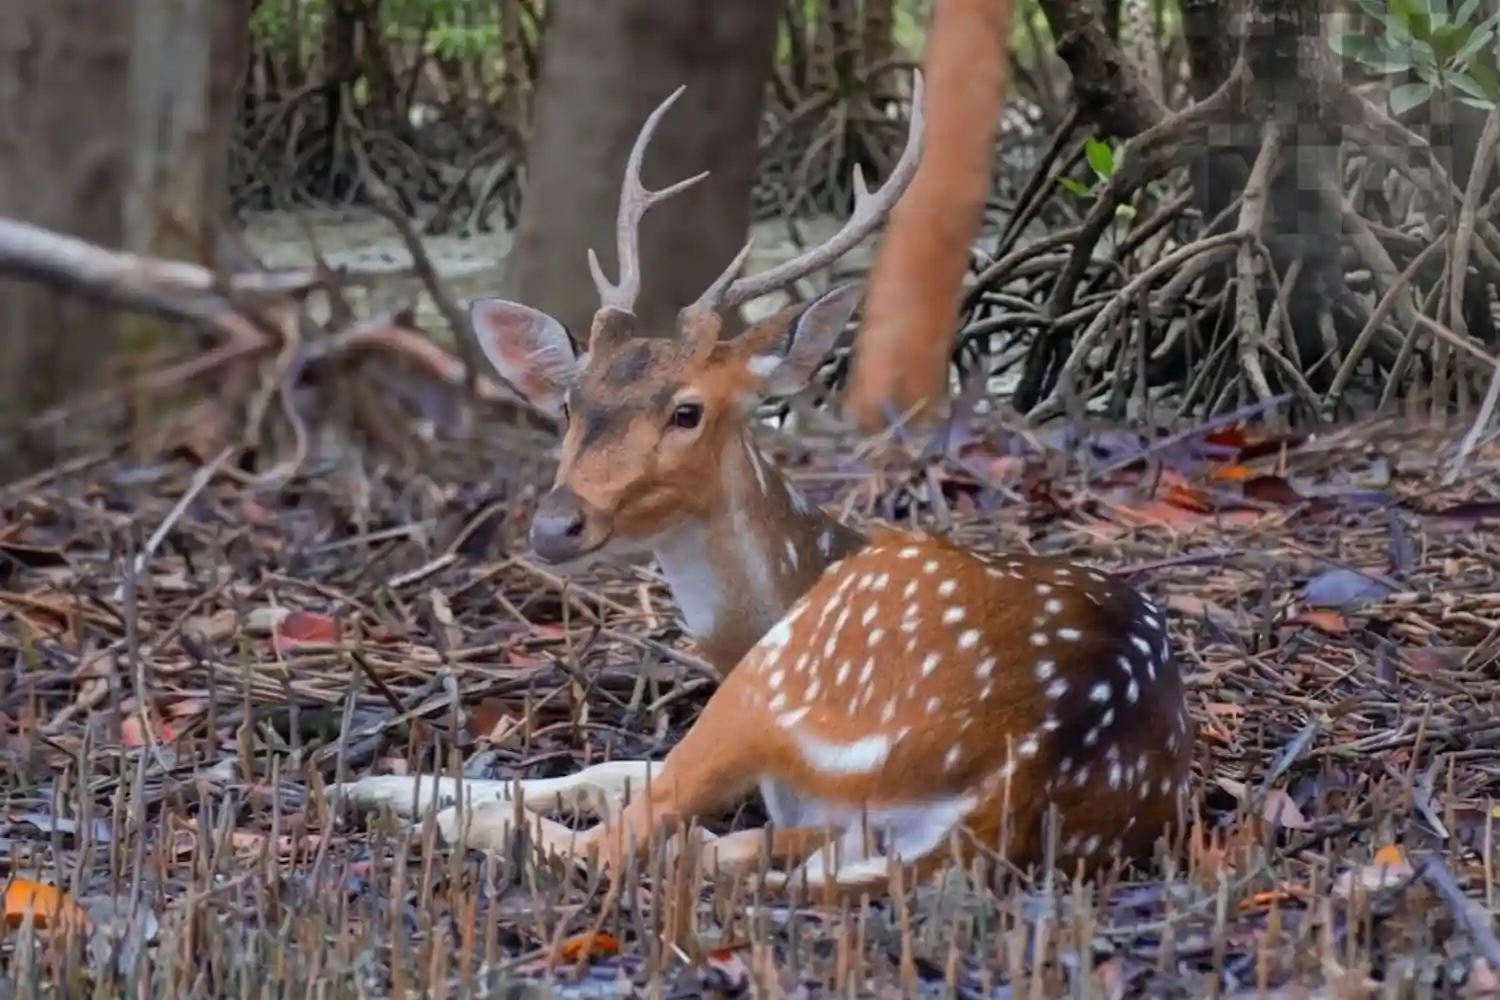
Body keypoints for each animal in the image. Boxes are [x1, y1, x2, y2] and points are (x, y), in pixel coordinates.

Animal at [331, 70, 1195, 898]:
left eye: (688, 411)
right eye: (572, 404)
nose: (556, 524)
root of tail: (1023, 775)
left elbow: (613, 790)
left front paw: (391, 794)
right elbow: (615, 773)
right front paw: (372, 784)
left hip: (777, 687)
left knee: (612, 847)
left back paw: (432, 825)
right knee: (700, 848)